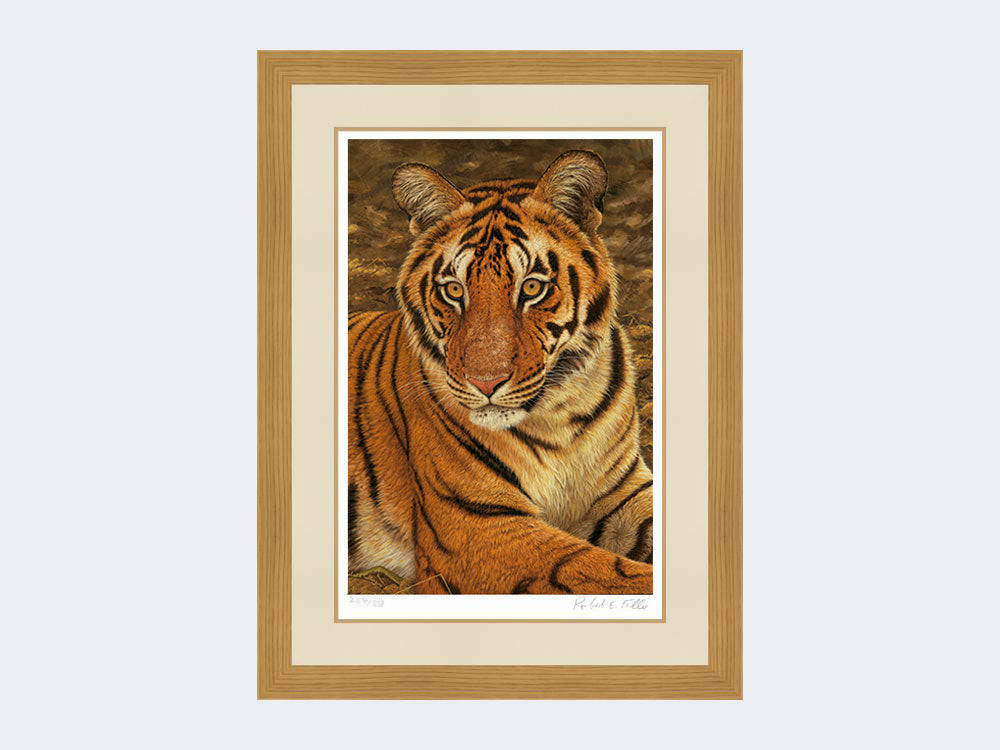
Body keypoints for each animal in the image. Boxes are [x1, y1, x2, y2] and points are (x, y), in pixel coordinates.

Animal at [348, 150, 655, 594]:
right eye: (453, 290)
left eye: (532, 288)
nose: (485, 382)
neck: (559, 415)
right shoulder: (479, 524)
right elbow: (602, 572)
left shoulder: (625, 491)